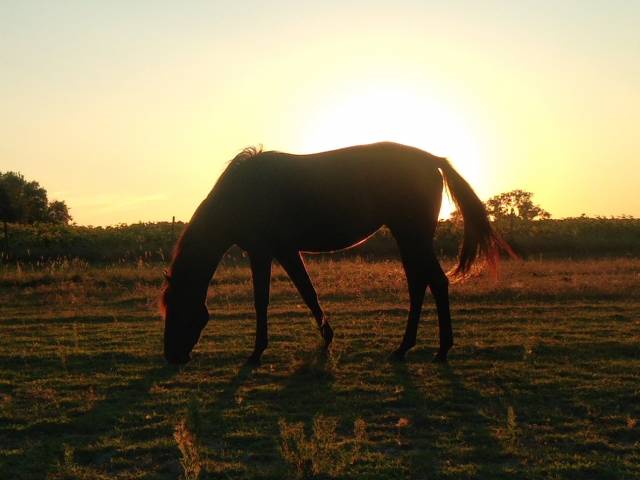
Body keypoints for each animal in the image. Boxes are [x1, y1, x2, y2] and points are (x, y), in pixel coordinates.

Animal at [160, 141, 510, 366]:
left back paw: (439, 349)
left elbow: (262, 301)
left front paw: (257, 352)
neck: (243, 192)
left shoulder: (262, 253)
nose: (172, 356)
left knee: (434, 282)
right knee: (419, 283)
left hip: (414, 235)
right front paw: (327, 338)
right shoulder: (286, 251)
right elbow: (308, 293)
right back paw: (406, 347)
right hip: (408, 236)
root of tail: (433, 159)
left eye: (176, 310)